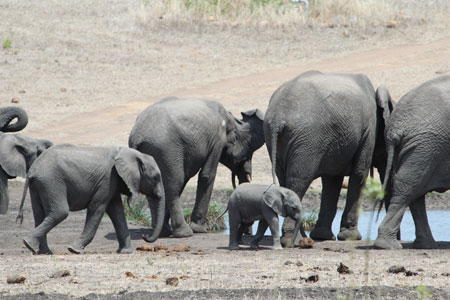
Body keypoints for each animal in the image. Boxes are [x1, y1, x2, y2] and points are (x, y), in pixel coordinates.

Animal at [18, 144, 165, 254]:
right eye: (156, 177)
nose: (144, 236)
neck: (129, 152)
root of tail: (32, 170)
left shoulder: (112, 182)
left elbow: (117, 211)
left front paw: (126, 252)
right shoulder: (107, 179)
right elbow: (97, 208)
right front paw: (74, 250)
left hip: (39, 185)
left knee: (39, 214)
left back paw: (41, 251)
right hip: (51, 181)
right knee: (60, 212)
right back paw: (28, 244)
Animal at [128, 97, 266, 240]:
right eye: (248, 153)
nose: (247, 233)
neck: (232, 120)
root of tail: (137, 136)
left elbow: (185, 180)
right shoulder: (217, 140)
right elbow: (207, 175)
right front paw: (199, 229)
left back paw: (162, 232)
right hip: (166, 150)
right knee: (174, 184)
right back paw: (184, 233)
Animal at [264, 71, 394, 246]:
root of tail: (278, 116)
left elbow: (332, 182)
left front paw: (322, 237)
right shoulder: (368, 131)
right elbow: (359, 175)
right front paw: (351, 237)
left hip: (277, 138)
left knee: (285, 180)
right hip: (307, 140)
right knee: (298, 181)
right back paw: (292, 241)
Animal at [374, 74, 450, 248]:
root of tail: (394, 128)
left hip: (421, 148)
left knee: (415, 192)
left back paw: (425, 245)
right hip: (425, 146)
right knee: (407, 188)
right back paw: (387, 245)